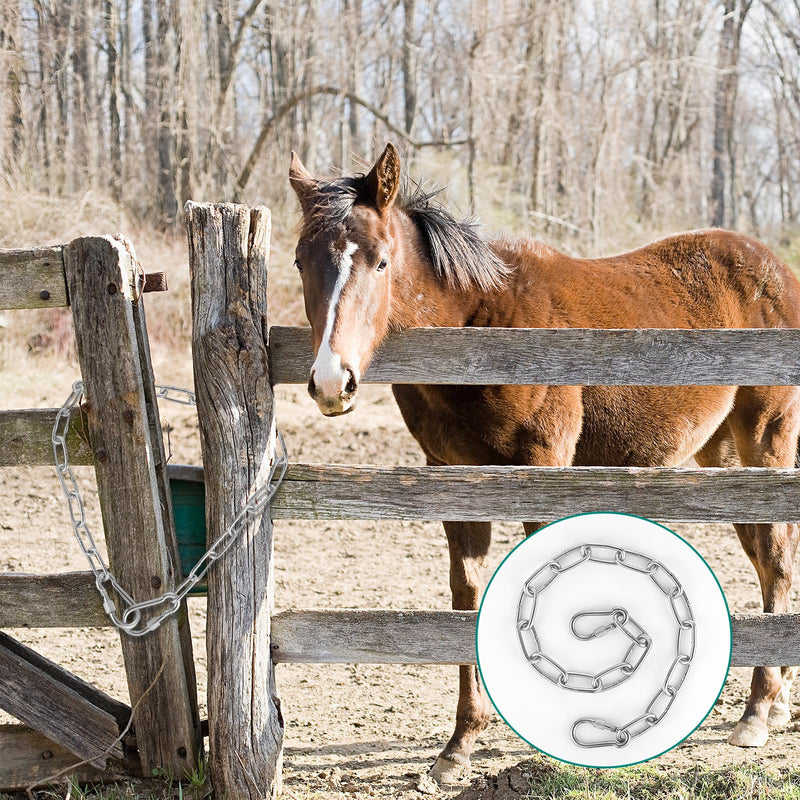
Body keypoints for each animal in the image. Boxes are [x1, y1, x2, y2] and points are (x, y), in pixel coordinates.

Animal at [288, 142, 800, 782]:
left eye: (381, 262)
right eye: (301, 262)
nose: (333, 382)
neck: (480, 324)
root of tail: (777, 271)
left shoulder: (543, 468)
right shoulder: (452, 478)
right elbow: (466, 594)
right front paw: (460, 744)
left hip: (766, 441)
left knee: (776, 559)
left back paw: (756, 712)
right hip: (724, 456)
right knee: (764, 557)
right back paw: (776, 700)